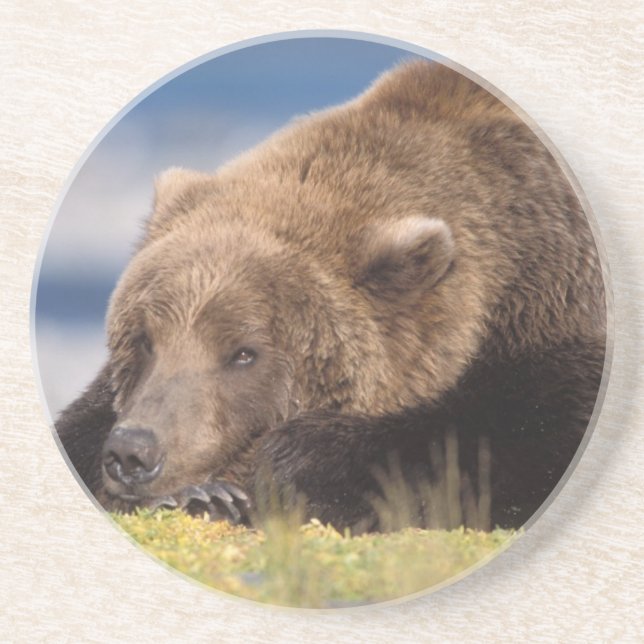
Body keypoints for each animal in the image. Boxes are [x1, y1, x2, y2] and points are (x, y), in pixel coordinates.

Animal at [54, 60, 607, 533]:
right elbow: (80, 426)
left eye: (244, 353)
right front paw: (198, 493)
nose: (133, 452)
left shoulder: (556, 309)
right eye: (144, 340)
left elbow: (515, 434)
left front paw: (276, 471)